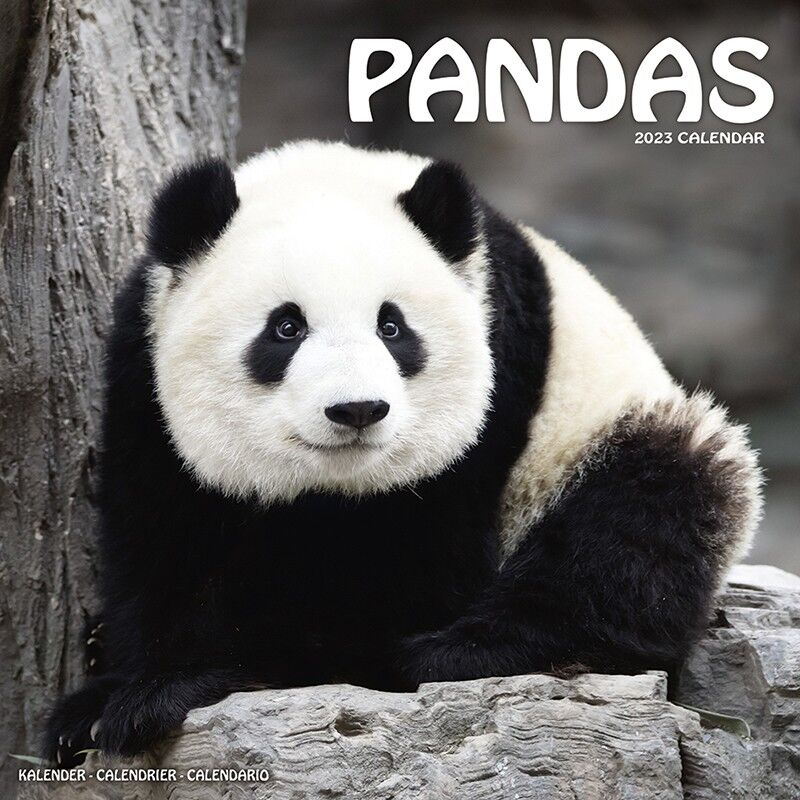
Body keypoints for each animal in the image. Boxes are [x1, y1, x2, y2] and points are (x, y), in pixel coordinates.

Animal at [44, 140, 762, 766]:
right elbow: (165, 541)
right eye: (286, 327)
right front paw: (111, 702)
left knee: (642, 519)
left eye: (393, 327)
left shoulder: (499, 374)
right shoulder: (140, 377)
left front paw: (224, 673)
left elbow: (396, 580)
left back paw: (468, 652)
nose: (357, 410)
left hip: (606, 431)